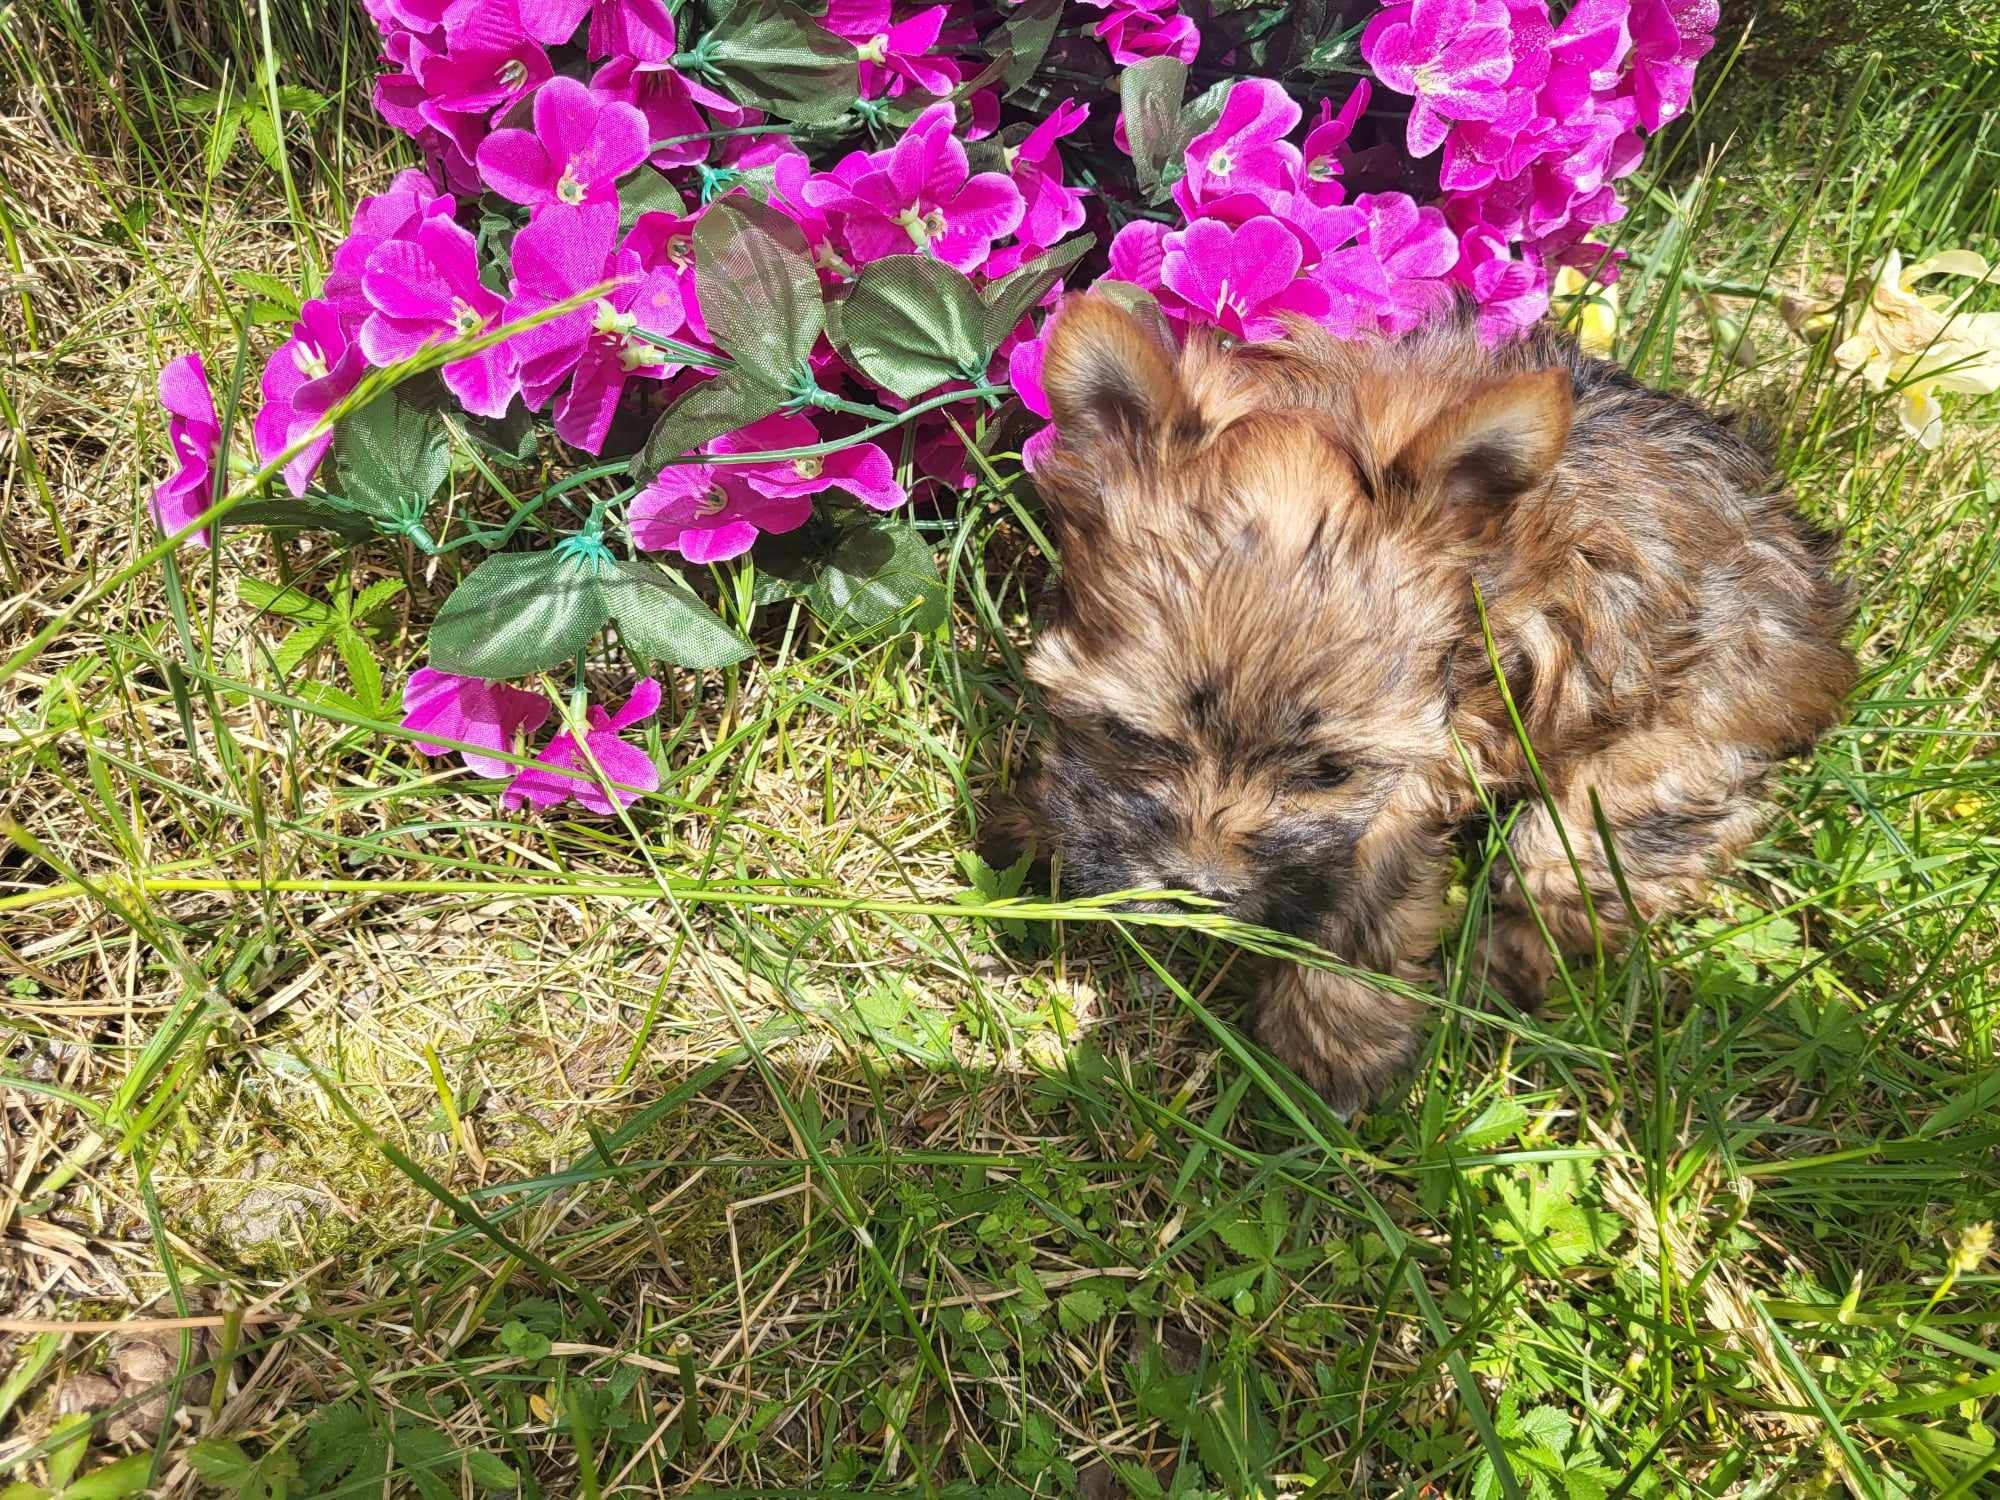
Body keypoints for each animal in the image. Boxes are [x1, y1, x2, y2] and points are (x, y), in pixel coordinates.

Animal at [1000, 296, 1856, 1120]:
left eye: (1331, 772)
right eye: (1126, 734)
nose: (1203, 888)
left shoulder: (1424, 759)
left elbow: (1368, 887)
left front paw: (1333, 1043)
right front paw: (1037, 835)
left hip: (1670, 758)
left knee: (1572, 874)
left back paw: (1492, 980)